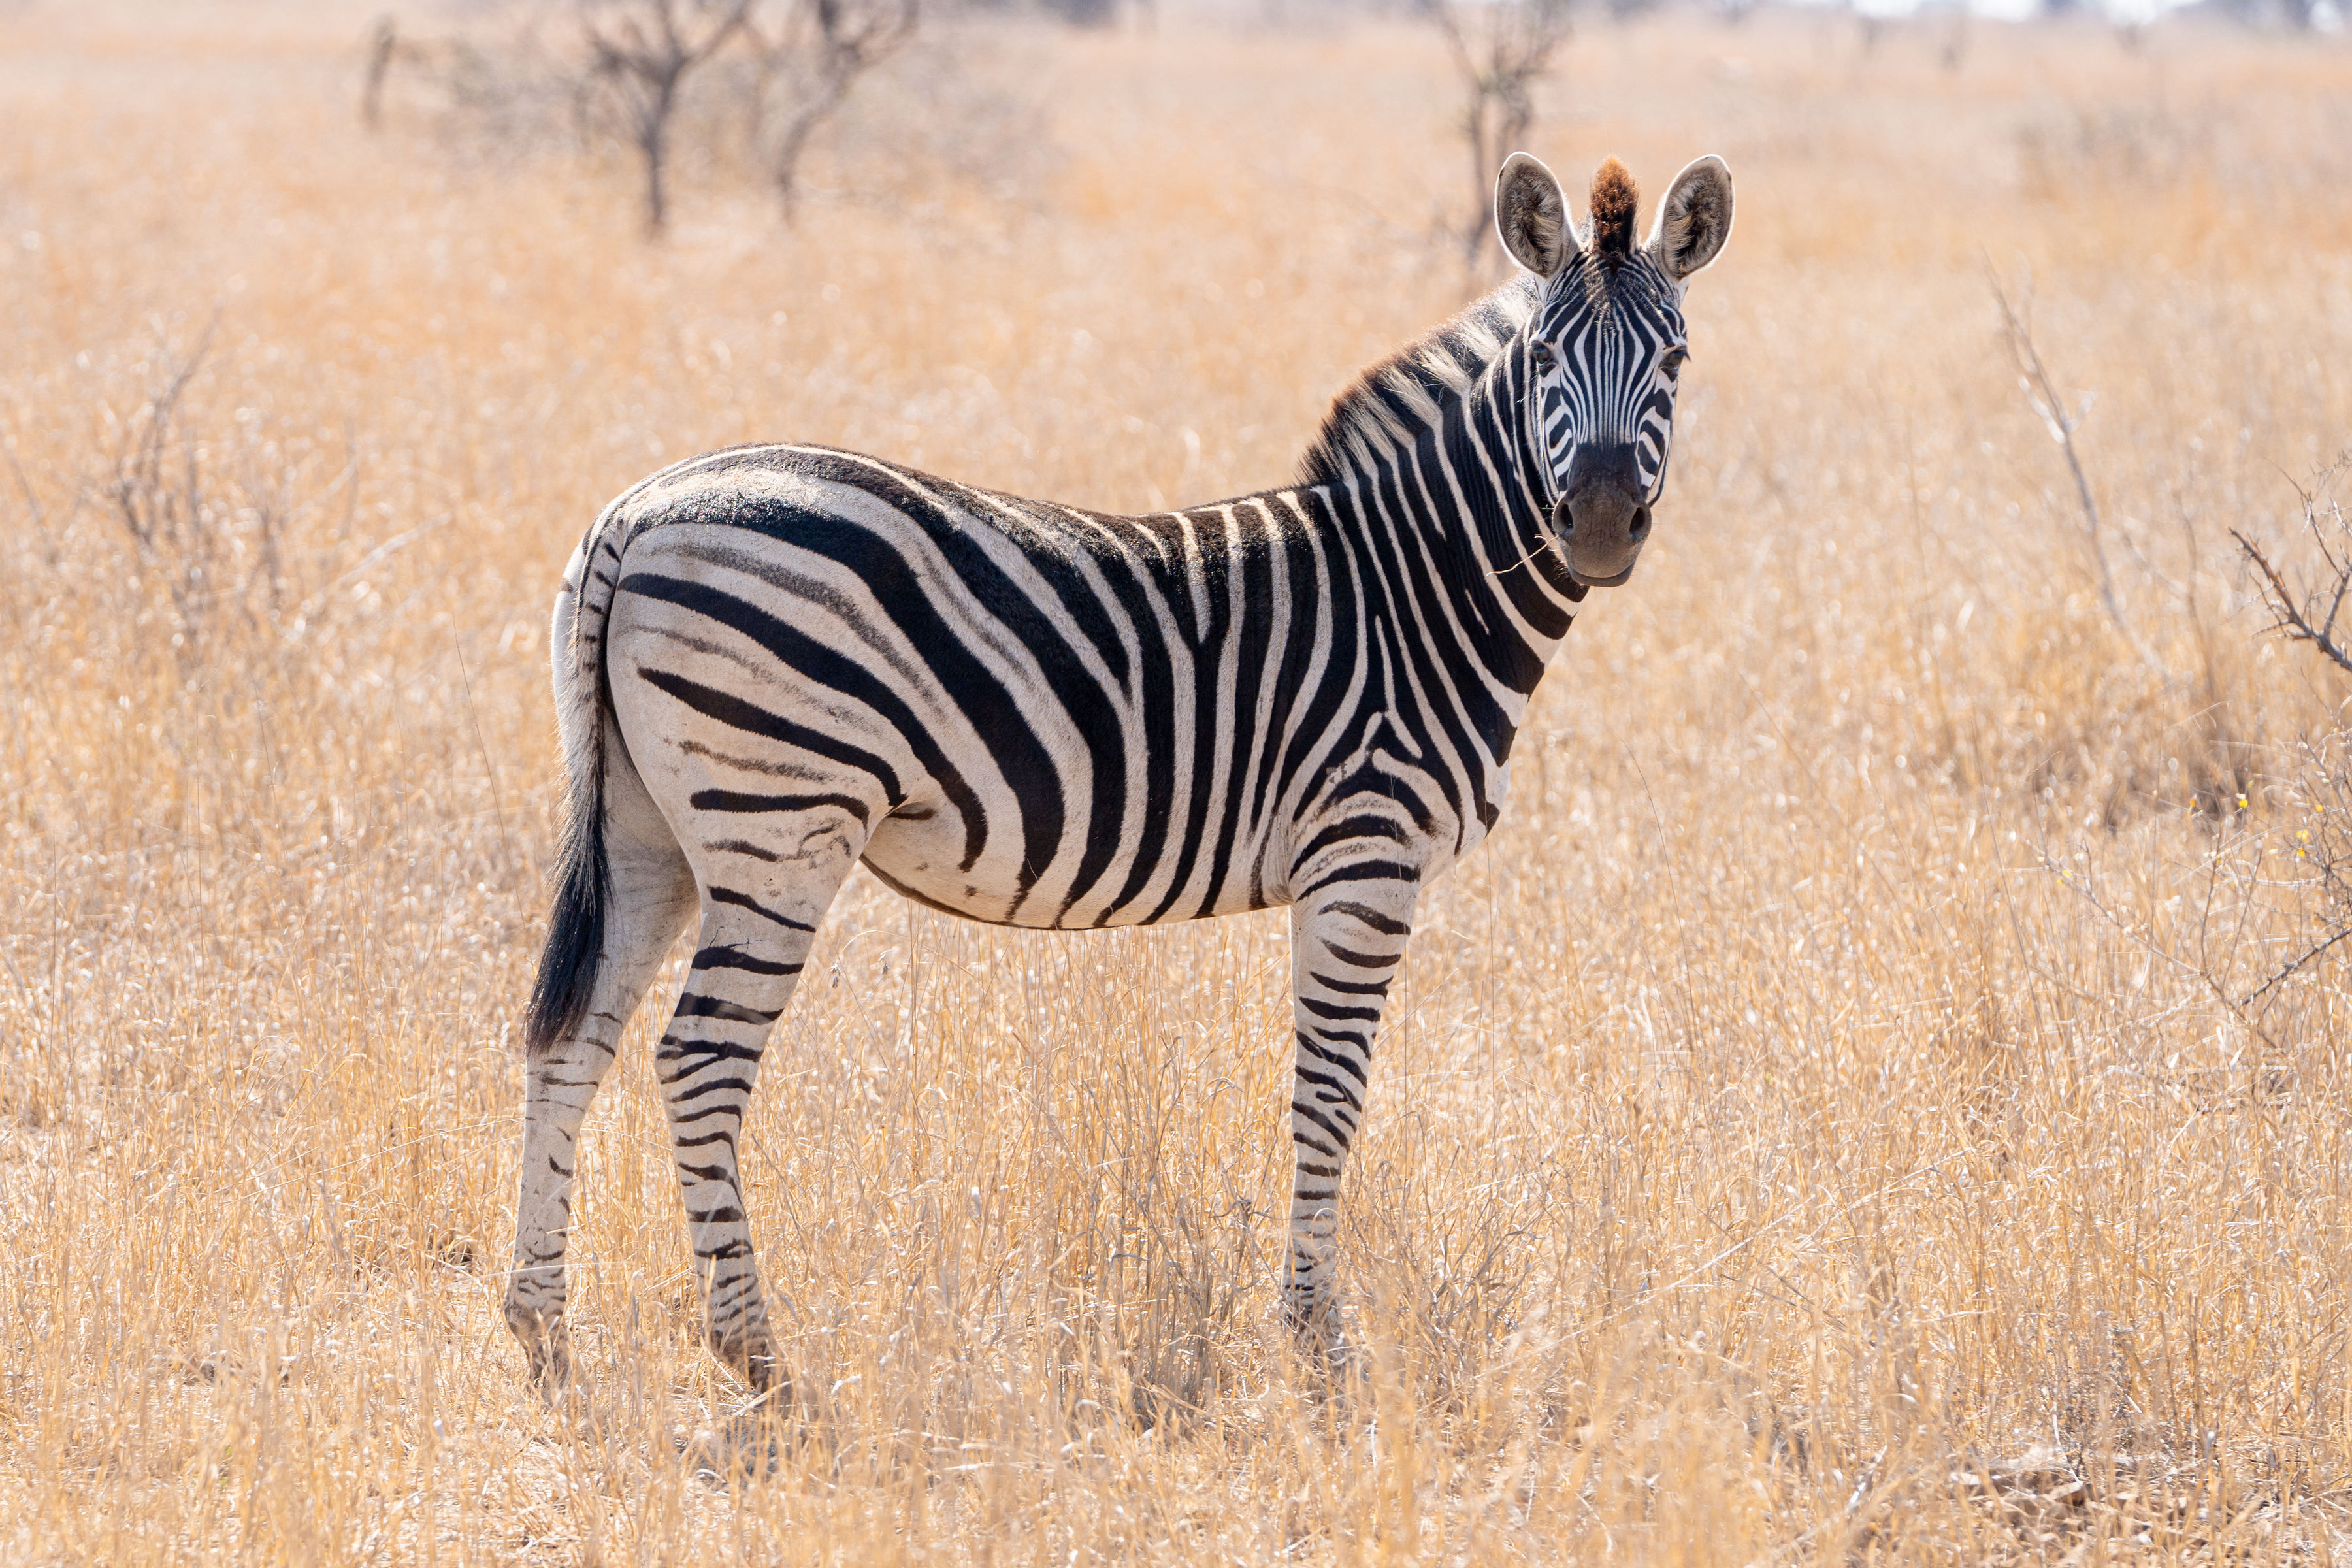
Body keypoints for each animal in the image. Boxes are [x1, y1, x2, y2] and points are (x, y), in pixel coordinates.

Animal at [503, 151, 1734, 1398]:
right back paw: (757, 1354)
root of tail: (634, 514)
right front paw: (1316, 1342)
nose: (1596, 526)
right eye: (1545, 360)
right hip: (778, 823)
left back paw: (543, 1329)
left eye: (1677, 359)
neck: (1416, 588)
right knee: (699, 1060)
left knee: (572, 1042)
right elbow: (1328, 1098)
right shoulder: (1365, 855)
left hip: (648, 827)